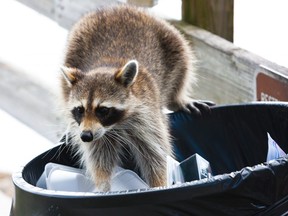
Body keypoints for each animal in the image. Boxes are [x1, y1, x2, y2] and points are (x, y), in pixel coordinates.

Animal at [60, 4, 212, 191]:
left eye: (103, 110)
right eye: (80, 110)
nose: (85, 136)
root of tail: (117, 7)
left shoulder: (147, 115)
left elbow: (155, 153)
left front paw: (159, 184)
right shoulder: (95, 131)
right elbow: (99, 155)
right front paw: (103, 184)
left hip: (171, 40)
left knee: (183, 65)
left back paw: (178, 99)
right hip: (73, 48)